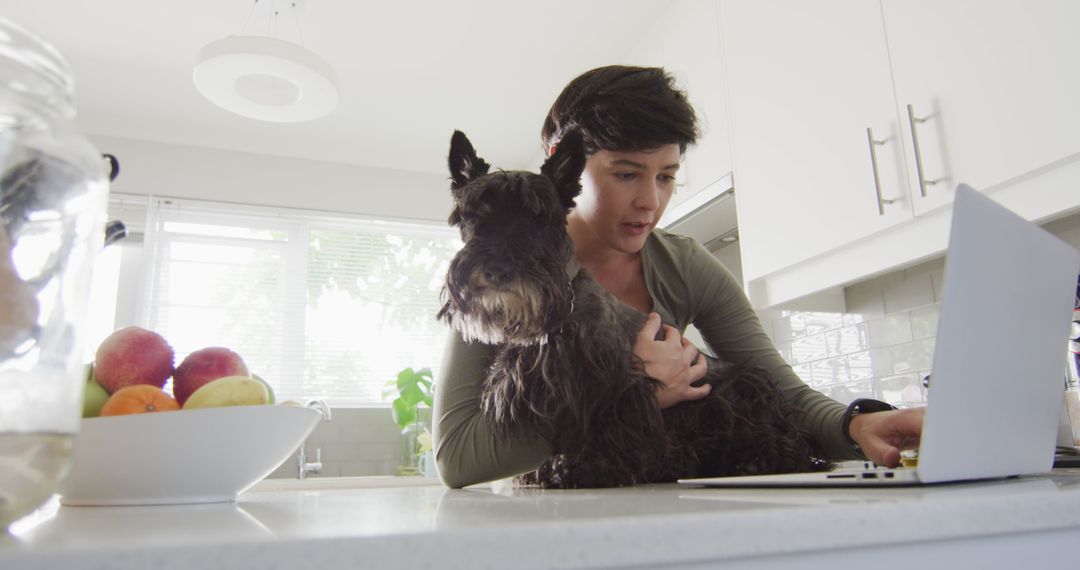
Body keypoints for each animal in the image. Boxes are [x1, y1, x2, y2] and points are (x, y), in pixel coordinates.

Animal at [434, 131, 820, 487]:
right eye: (475, 215)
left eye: (540, 217)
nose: (498, 270)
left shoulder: (617, 392)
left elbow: (613, 433)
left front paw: (582, 467)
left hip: (740, 392)